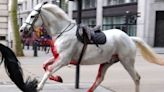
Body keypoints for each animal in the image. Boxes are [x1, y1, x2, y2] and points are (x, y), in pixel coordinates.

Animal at [19, 2, 164, 92]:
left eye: (32, 16)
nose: (21, 30)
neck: (63, 32)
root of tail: (130, 38)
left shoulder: (64, 60)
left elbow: (49, 69)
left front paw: (39, 86)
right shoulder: (58, 58)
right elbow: (45, 65)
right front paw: (58, 78)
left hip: (126, 61)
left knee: (136, 78)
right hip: (107, 62)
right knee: (99, 79)